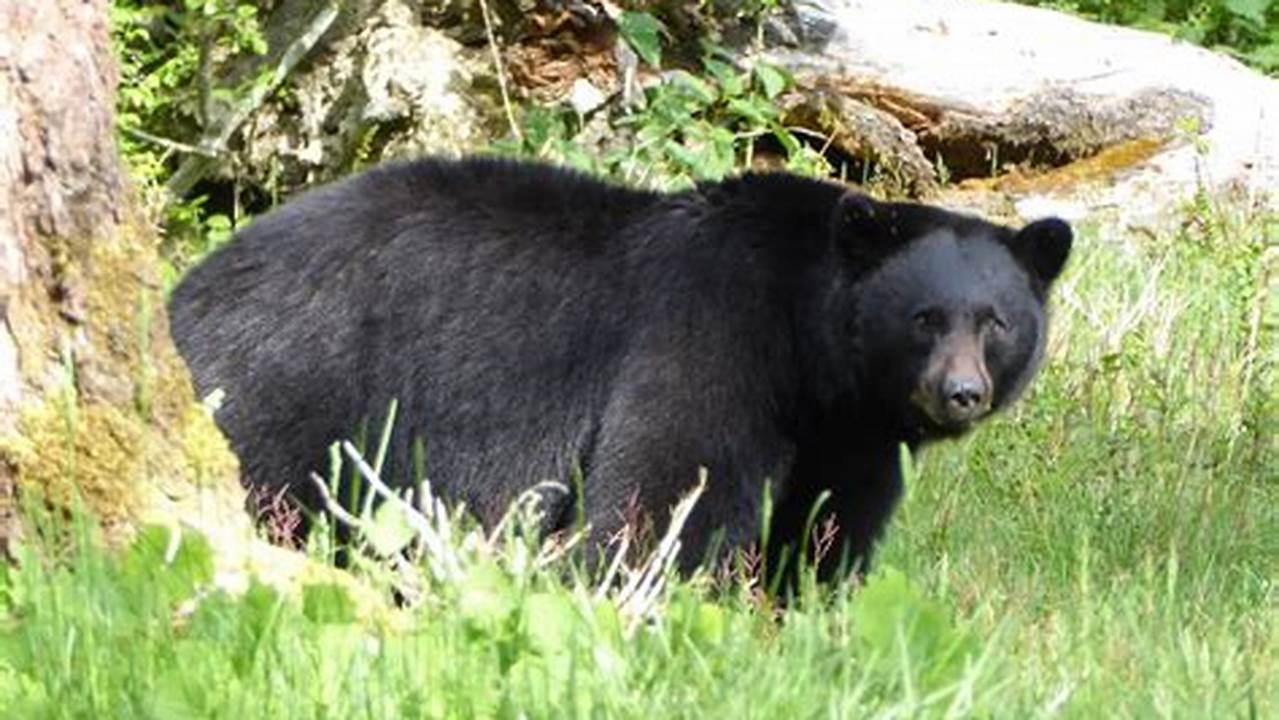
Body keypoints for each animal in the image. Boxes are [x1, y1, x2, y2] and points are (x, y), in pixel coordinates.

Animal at [168, 156, 1071, 583]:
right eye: (924, 318)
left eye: (994, 321)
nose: (959, 394)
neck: (807, 347)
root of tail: (188, 291)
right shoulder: (709, 336)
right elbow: (663, 490)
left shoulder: (849, 435)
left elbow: (825, 527)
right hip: (293, 377)